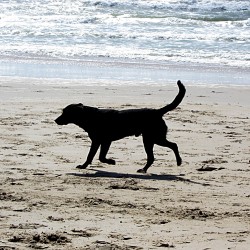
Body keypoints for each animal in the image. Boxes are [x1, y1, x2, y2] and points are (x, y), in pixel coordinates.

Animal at [56, 81, 186, 173]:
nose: (55, 120)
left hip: (153, 138)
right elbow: (92, 156)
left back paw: (177, 162)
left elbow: (99, 157)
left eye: (65, 113)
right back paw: (144, 169)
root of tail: (157, 112)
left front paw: (111, 161)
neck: (90, 117)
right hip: (151, 139)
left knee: (172, 146)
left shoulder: (103, 141)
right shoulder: (99, 142)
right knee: (155, 155)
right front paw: (84, 166)